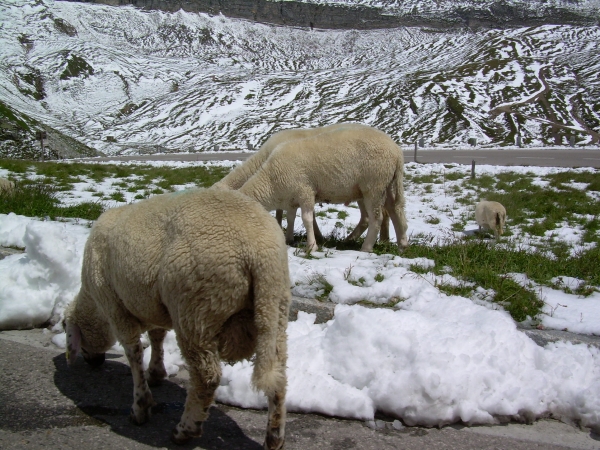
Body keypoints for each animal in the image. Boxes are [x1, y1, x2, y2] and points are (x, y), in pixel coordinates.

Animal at [63, 188, 290, 448]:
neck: (93, 304)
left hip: (196, 309)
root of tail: (261, 252)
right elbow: (157, 336)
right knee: (279, 376)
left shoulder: (114, 306)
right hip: (275, 307)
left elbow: (133, 353)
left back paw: (185, 430)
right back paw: (274, 437)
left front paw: (140, 407)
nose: (93, 362)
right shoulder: (151, 305)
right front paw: (156, 373)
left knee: (206, 378)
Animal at [239, 123, 408, 253]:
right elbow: (291, 217)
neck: (271, 180)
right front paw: (289, 239)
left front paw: (311, 246)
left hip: (374, 185)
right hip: (386, 184)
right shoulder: (291, 198)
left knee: (377, 218)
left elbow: (306, 219)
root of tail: (397, 151)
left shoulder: (305, 191)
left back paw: (366, 247)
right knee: (395, 210)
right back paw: (402, 245)